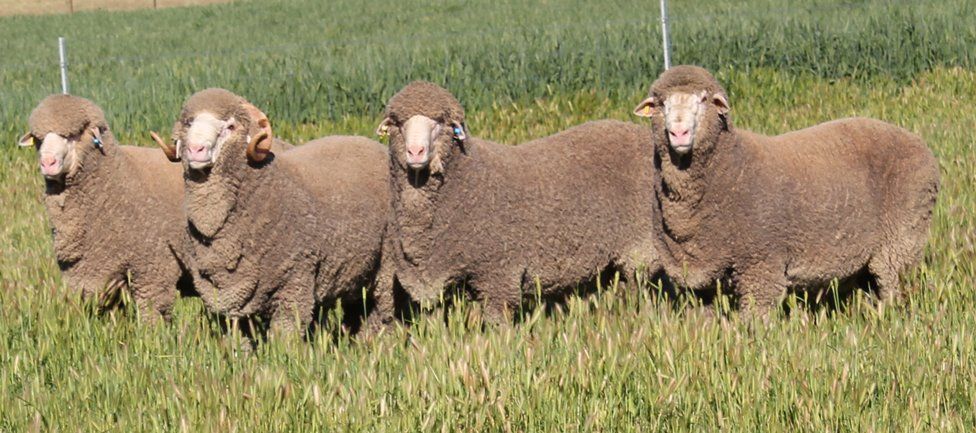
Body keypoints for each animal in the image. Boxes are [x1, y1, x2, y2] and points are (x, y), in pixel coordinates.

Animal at [17, 94, 192, 321]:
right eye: (39, 139)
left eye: (74, 135)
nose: (48, 163)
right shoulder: (97, 277)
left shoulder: (153, 272)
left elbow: (152, 317)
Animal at [156, 88, 390, 336]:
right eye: (189, 123)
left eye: (230, 126)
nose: (195, 150)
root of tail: (370, 142)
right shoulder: (226, 299)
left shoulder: (294, 284)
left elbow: (284, 337)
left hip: (387, 264)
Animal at [372, 81, 662, 325]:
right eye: (397, 123)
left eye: (440, 123)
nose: (415, 152)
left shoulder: (499, 273)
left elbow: (497, 324)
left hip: (639, 248)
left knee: (640, 287)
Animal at [632, 65, 940, 317]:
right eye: (660, 103)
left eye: (704, 99)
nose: (679, 133)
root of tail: (918, 142)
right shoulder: (699, 276)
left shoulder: (761, 263)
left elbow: (756, 317)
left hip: (901, 238)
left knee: (890, 284)